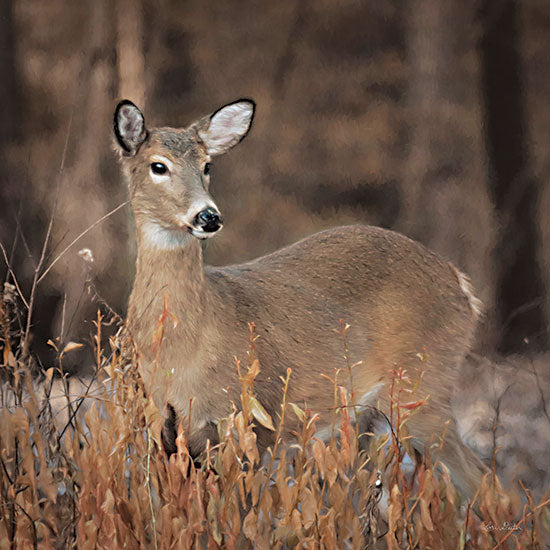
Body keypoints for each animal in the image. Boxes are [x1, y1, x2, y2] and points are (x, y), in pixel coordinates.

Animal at [112, 98, 488, 504]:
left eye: (207, 165)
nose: (208, 216)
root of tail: (462, 284)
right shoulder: (163, 435)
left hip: (422, 387)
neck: (183, 349)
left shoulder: (254, 418)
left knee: (484, 480)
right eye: (158, 165)